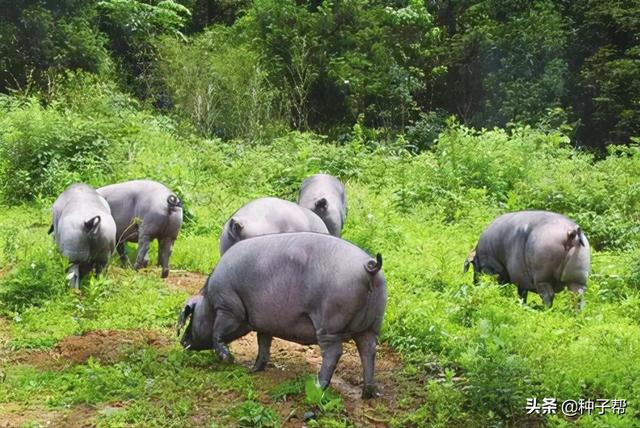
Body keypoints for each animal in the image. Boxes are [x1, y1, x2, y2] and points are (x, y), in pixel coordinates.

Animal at [178, 232, 388, 400]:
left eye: (191, 315)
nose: (181, 342)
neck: (208, 300)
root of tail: (369, 266)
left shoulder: (229, 307)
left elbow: (217, 333)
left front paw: (228, 359)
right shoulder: (264, 325)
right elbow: (263, 345)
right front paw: (254, 370)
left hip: (329, 324)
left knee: (334, 353)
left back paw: (317, 387)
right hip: (372, 326)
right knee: (369, 351)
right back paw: (367, 393)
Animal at [462, 211, 592, 308]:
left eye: (473, 265)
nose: (474, 284)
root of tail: (571, 232)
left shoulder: (492, 268)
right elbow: (522, 293)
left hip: (542, 276)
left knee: (547, 295)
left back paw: (544, 310)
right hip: (578, 278)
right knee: (577, 297)